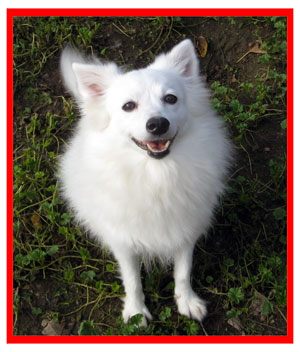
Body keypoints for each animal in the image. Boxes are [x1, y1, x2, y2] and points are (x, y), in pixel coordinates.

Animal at [59, 40, 232, 326]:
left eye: (170, 99)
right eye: (128, 106)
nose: (158, 124)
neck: (157, 174)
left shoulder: (185, 228)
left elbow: (183, 270)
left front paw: (186, 301)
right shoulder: (123, 241)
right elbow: (132, 280)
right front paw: (136, 311)